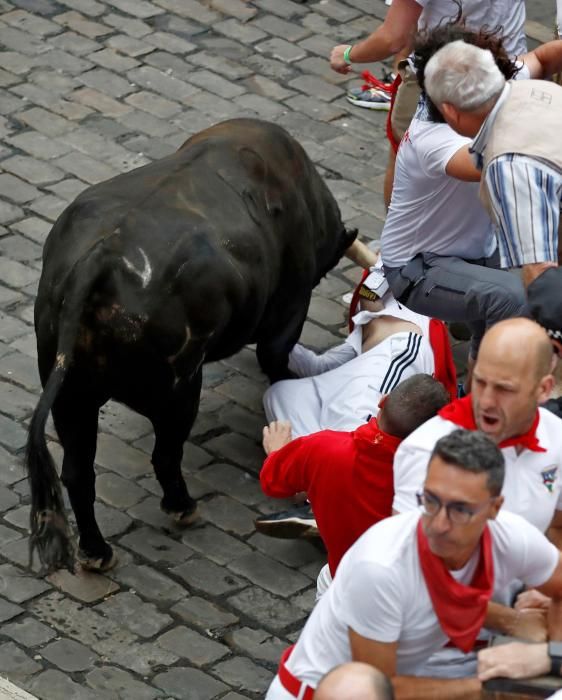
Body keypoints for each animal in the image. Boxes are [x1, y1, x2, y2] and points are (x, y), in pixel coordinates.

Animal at [25, 117, 354, 572]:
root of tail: (100, 259)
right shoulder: (290, 305)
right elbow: (276, 357)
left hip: (72, 397)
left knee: (78, 471)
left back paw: (97, 552)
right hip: (177, 390)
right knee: (164, 454)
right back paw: (182, 507)